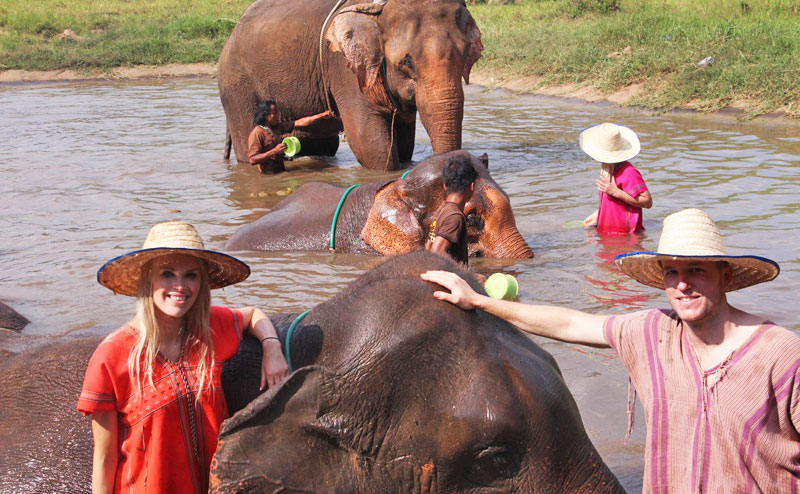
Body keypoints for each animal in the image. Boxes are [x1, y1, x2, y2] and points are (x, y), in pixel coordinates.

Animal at [216, 0, 484, 171]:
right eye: (407, 62)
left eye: (465, 57)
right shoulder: (344, 68)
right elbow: (370, 144)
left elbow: (405, 142)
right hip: (237, 86)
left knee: (323, 145)